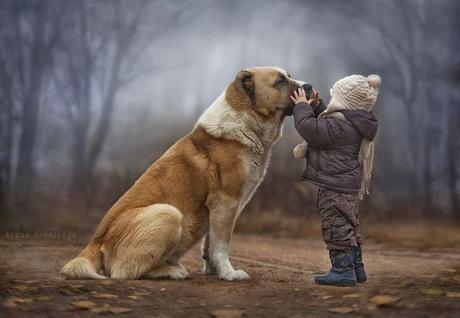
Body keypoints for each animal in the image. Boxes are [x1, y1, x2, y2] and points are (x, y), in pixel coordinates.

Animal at [62, 66, 302, 280]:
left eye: (288, 76)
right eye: (280, 81)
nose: (307, 86)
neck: (246, 121)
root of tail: (95, 241)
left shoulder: (218, 209)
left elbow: (210, 244)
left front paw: (214, 271)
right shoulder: (226, 202)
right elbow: (222, 245)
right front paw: (229, 274)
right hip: (168, 213)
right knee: (124, 272)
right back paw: (173, 271)